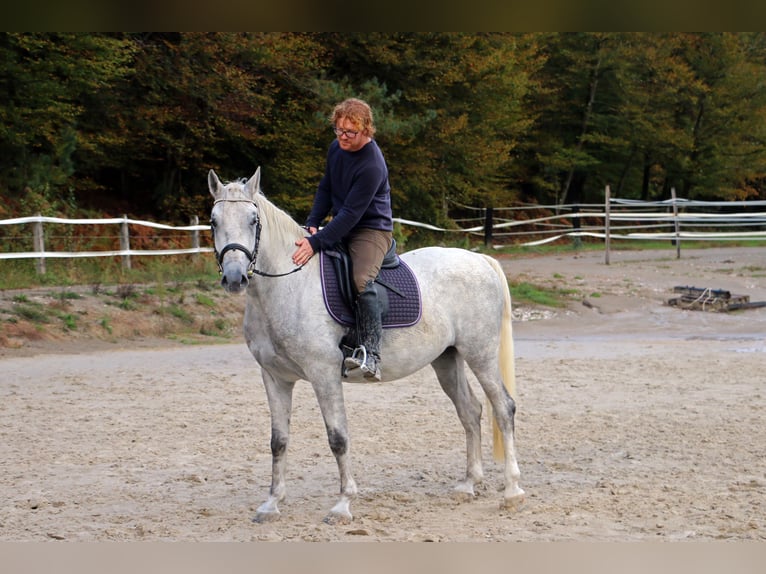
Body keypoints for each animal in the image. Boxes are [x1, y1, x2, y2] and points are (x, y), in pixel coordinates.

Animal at [207, 169, 524, 524]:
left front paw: (343, 504)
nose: (235, 278)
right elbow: (279, 441)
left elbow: (338, 438)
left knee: (503, 407)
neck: (289, 284)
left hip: (480, 354)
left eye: (253, 221)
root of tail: (480, 260)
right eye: (214, 221)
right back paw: (468, 484)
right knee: (470, 411)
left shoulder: (323, 374)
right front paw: (272, 503)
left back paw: (512, 491)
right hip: (447, 358)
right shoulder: (275, 378)